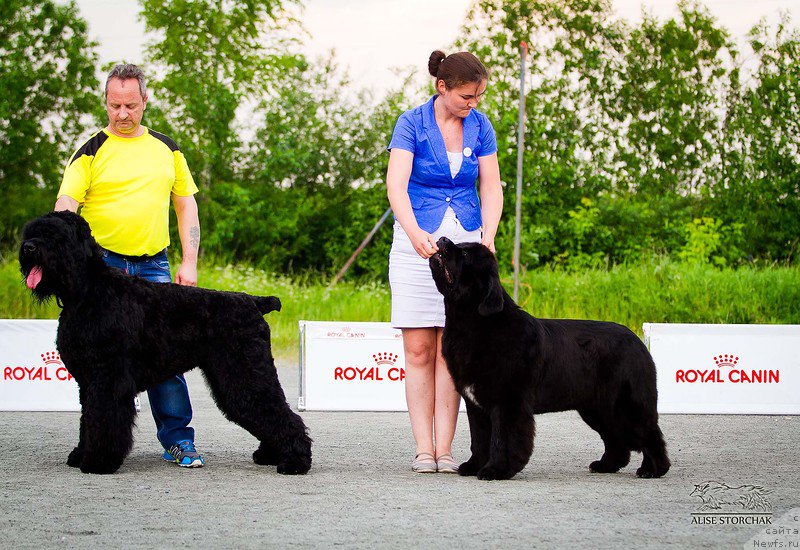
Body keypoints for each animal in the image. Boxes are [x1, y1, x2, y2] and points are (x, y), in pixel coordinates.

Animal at [18, 213, 312, 476]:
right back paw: (271, 455)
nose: (29, 248)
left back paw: (294, 462)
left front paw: (98, 462)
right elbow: (87, 419)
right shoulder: (88, 382)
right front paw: (81, 454)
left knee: (279, 412)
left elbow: (103, 419)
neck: (88, 291)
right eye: (31, 231)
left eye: (56, 235)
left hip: (244, 374)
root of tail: (254, 302)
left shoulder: (108, 380)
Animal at [432, 239, 668, 480]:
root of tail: (638, 341)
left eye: (464, 253)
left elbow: (502, 439)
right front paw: (473, 466)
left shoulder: (508, 401)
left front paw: (496, 469)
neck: (472, 324)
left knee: (650, 434)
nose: (441, 239)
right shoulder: (476, 405)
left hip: (626, 404)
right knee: (615, 437)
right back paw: (605, 465)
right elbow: (479, 438)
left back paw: (653, 469)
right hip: (598, 408)